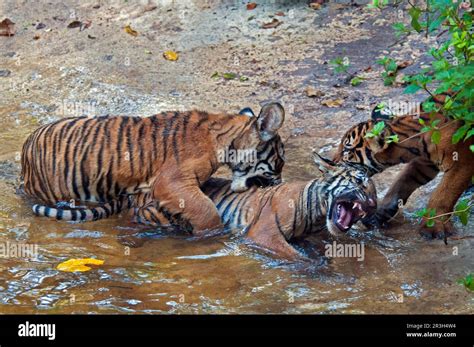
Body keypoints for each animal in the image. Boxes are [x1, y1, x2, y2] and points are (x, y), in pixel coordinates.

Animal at [21, 102, 286, 235]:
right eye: (280, 160)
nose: (281, 184)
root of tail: (27, 146)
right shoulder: (172, 182)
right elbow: (206, 211)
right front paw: (211, 236)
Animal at [334, 92, 474, 239]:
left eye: (346, 151)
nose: (331, 162)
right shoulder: (422, 164)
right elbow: (398, 187)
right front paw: (376, 217)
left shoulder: (462, 162)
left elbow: (444, 194)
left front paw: (432, 227)